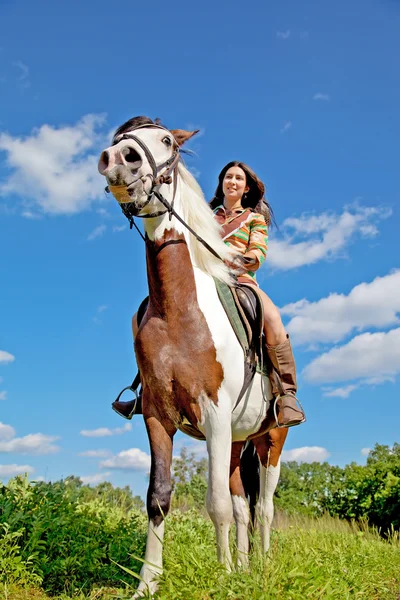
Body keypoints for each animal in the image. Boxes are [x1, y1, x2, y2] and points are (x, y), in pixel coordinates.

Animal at [99, 117, 290, 600]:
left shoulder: (215, 415)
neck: (178, 309)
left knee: (263, 508)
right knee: (244, 505)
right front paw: (148, 582)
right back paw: (244, 566)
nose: (119, 159)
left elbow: (215, 504)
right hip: (240, 440)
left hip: (272, 440)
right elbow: (159, 497)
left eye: (166, 140)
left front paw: (220, 578)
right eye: (117, 140)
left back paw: (260, 566)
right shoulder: (157, 416)